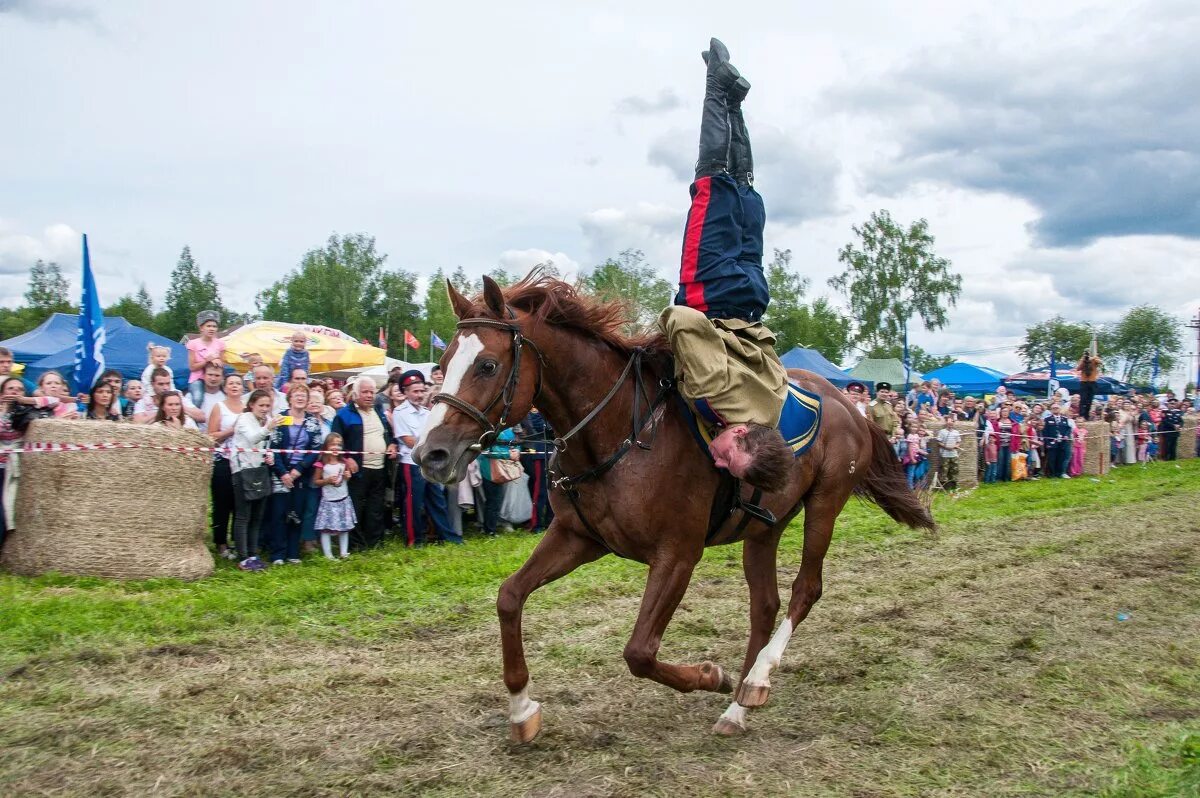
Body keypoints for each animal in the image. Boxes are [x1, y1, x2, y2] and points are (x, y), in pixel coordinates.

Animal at [415, 272, 936, 739]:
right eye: (444, 360)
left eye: (486, 365)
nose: (429, 453)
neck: (621, 431)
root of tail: (852, 407)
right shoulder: (578, 537)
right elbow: (509, 597)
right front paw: (522, 709)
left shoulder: (678, 555)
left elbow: (640, 652)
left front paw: (711, 675)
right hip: (764, 527)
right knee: (765, 605)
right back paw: (737, 706)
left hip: (825, 504)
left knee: (805, 591)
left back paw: (754, 680)